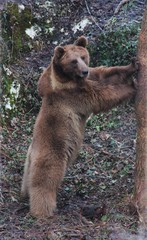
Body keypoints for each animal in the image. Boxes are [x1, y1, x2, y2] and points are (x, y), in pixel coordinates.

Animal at [20, 36, 138, 218]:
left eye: (83, 57)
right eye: (73, 61)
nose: (85, 71)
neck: (68, 78)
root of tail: (33, 153)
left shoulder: (90, 77)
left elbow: (106, 73)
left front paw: (132, 65)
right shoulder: (73, 93)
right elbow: (101, 95)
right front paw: (132, 86)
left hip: (28, 162)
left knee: (27, 179)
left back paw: (25, 194)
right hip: (52, 151)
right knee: (45, 179)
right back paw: (43, 211)